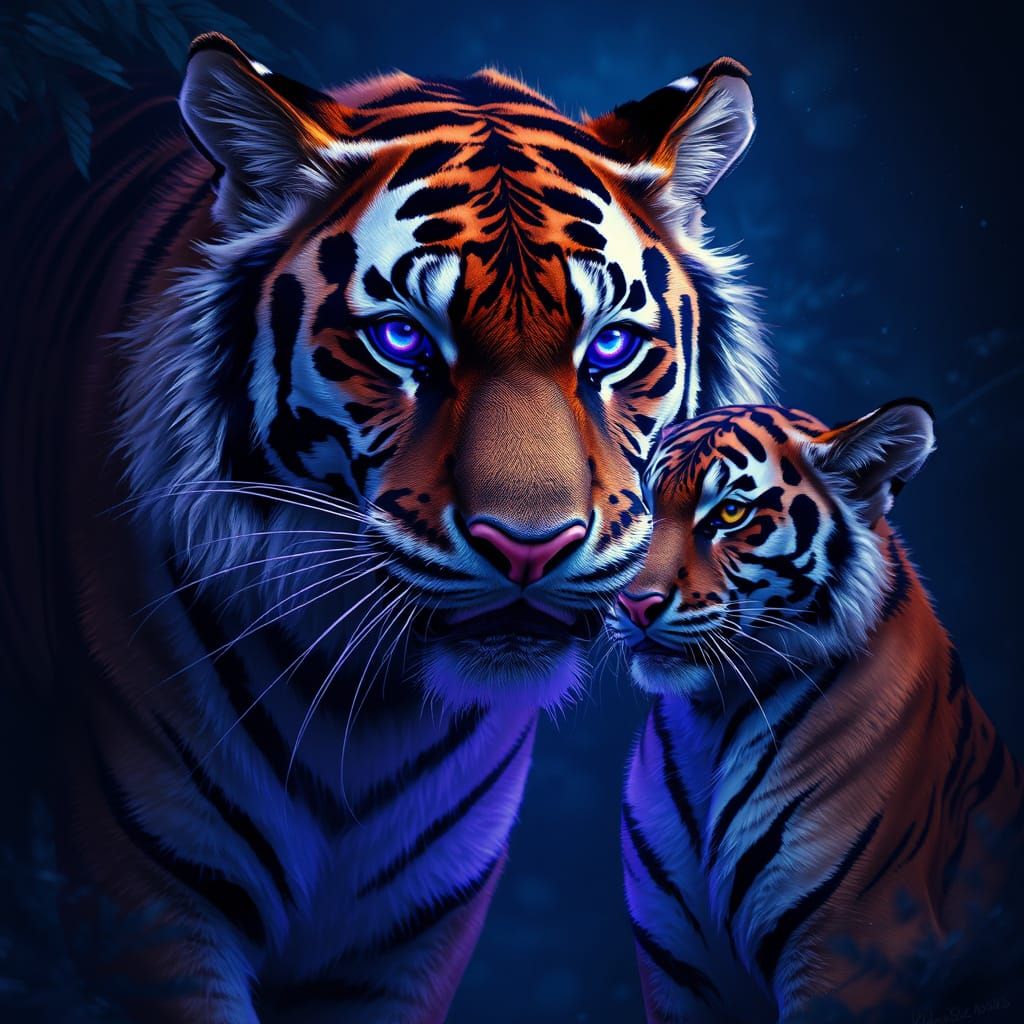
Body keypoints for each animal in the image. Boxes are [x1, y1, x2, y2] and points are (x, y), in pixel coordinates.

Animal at [0, 32, 774, 1023]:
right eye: (403, 339)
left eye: (609, 346)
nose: (530, 548)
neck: (361, 715)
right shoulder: (149, 904)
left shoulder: (412, 932)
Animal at [608, 402, 1024, 1022]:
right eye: (646, 508)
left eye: (730, 512)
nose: (634, 605)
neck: (712, 720)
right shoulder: (675, 973)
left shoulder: (853, 954)